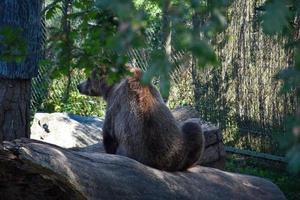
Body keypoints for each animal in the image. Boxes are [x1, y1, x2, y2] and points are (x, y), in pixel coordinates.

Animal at [77, 66, 205, 171]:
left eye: (88, 78)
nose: (78, 86)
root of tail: (162, 164)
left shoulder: (115, 103)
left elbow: (109, 134)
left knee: (192, 126)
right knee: (195, 131)